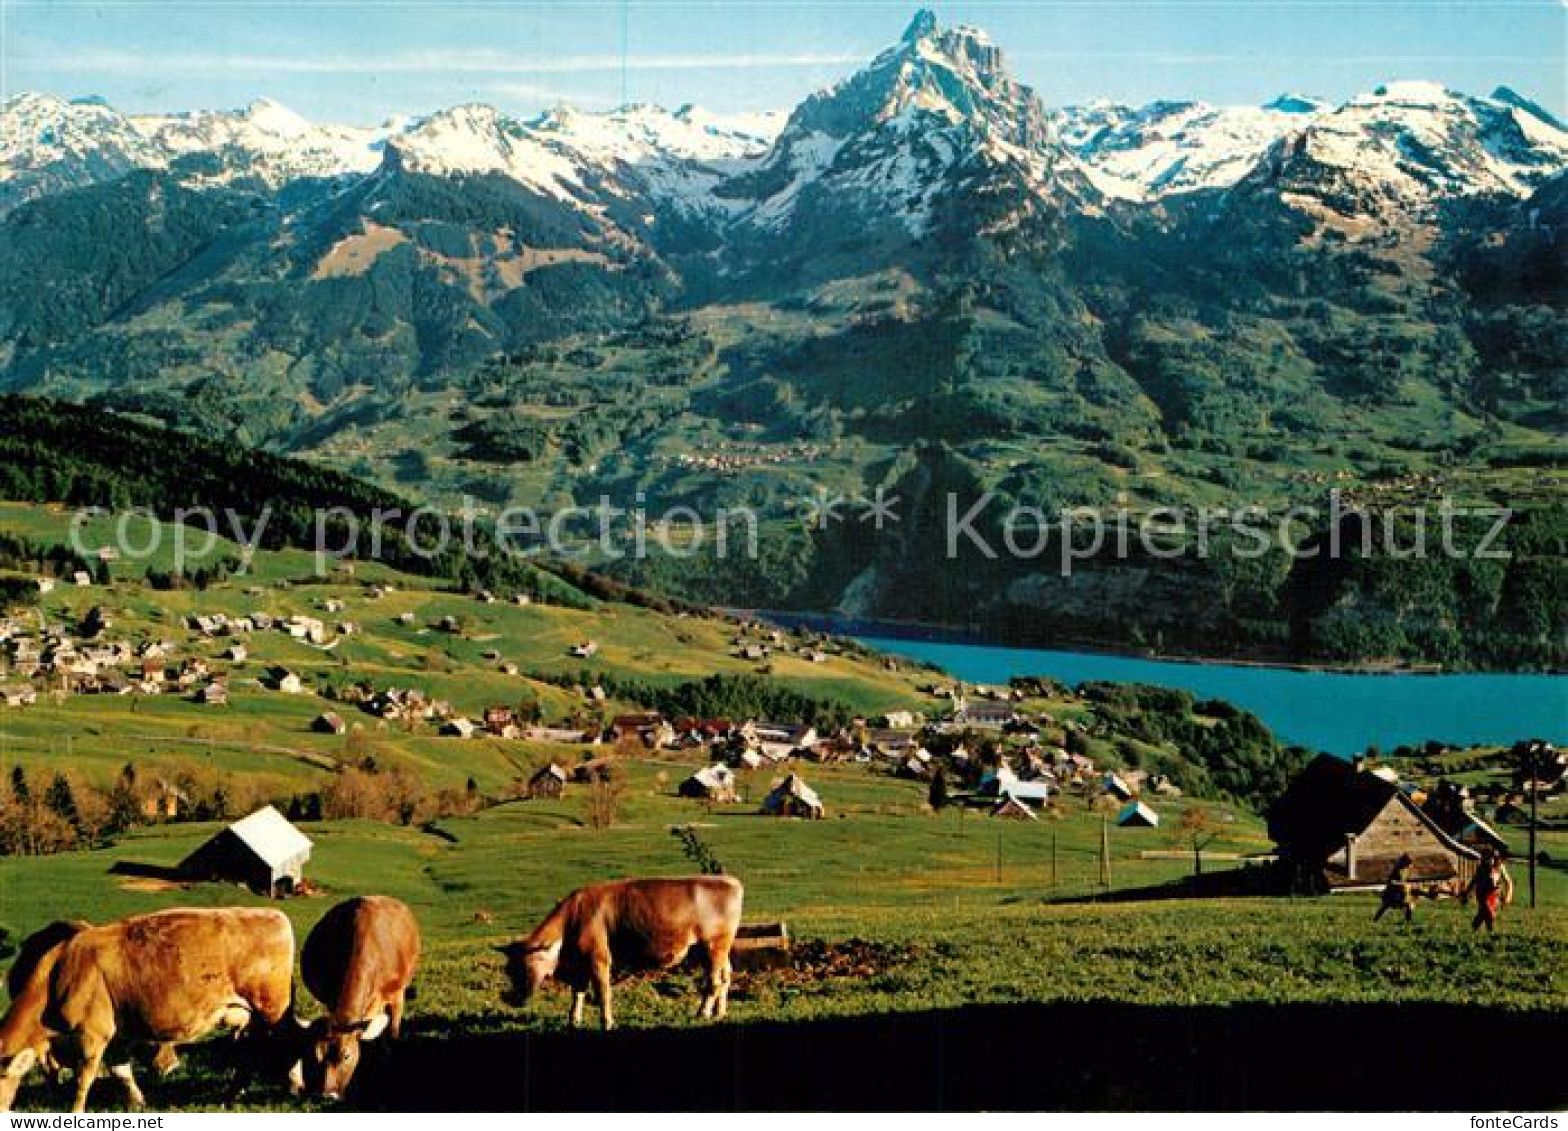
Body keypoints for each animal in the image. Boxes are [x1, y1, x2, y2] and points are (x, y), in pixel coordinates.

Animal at [40, 903, 294, 1104]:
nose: (171, 1066)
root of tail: (275, 914)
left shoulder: (94, 1032)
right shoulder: (113, 1034)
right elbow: (119, 1070)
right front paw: (137, 1102)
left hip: (270, 1010)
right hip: (253, 1017)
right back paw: (233, 1094)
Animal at [299, 897, 420, 1098]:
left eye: (346, 1056)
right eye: (317, 1055)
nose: (327, 1095)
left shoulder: (396, 995)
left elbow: (392, 1031)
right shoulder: (331, 999)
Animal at [501, 878, 746, 1029]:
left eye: (525, 965)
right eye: (508, 969)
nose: (511, 999)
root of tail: (729, 881)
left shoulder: (598, 959)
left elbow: (602, 993)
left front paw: (606, 1022)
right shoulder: (581, 964)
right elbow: (577, 993)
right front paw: (573, 1021)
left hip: (713, 946)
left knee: (714, 982)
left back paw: (702, 1013)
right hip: (716, 951)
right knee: (725, 978)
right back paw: (719, 1014)